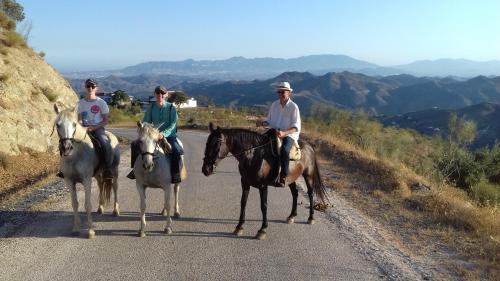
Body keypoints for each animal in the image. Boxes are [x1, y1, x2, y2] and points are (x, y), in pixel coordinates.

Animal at [53, 104, 121, 237]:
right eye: (58, 124)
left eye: (74, 124)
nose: (67, 147)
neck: (75, 155)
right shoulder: (69, 181)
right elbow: (75, 204)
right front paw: (75, 228)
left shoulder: (86, 180)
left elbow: (87, 205)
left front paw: (90, 231)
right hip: (98, 174)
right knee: (101, 185)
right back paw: (100, 208)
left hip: (114, 171)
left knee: (115, 187)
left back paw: (115, 210)